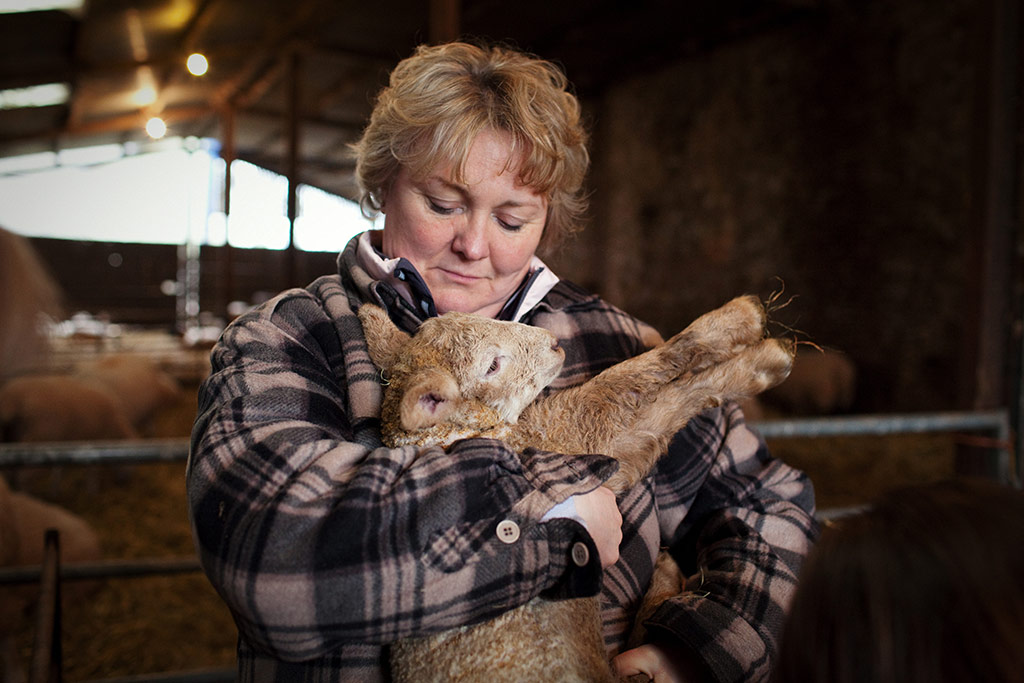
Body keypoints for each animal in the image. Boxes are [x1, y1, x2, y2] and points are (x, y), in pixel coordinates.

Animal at [358, 294, 795, 682]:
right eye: (492, 365)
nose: (553, 342)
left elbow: (657, 410)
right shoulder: (567, 438)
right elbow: (630, 385)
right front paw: (756, 342)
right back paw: (667, 576)